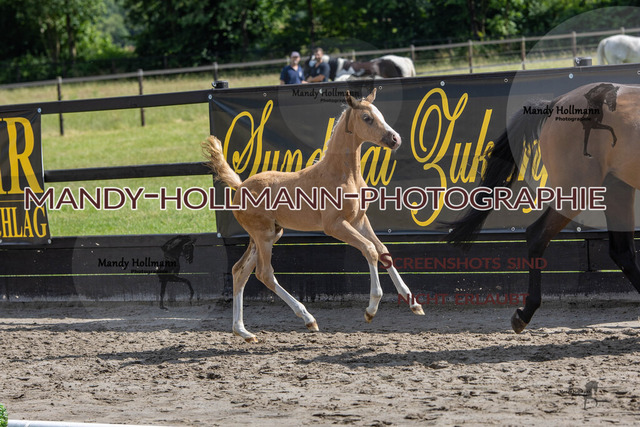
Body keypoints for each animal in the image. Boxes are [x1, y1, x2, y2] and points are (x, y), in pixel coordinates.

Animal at [202, 89, 424, 342]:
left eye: (381, 114)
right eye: (367, 118)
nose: (395, 139)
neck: (343, 175)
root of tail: (239, 187)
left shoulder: (359, 220)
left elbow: (383, 251)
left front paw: (414, 304)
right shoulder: (335, 226)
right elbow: (369, 250)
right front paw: (371, 309)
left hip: (268, 235)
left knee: (240, 272)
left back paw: (244, 332)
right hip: (264, 235)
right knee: (264, 274)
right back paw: (308, 319)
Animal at [446, 82, 640, 333]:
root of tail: (556, 103)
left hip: (617, 186)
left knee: (622, 251)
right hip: (577, 188)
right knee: (537, 234)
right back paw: (525, 312)